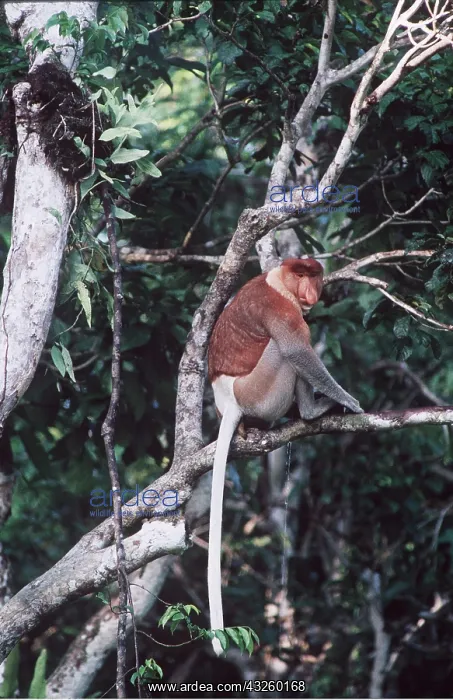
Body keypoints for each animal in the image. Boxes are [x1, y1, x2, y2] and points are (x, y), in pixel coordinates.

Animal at [207, 257, 363, 654]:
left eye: (313, 275)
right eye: (300, 275)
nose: (309, 291)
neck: (278, 281)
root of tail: (229, 404)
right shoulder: (281, 310)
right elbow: (297, 351)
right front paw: (349, 401)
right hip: (260, 391)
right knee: (285, 353)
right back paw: (310, 411)